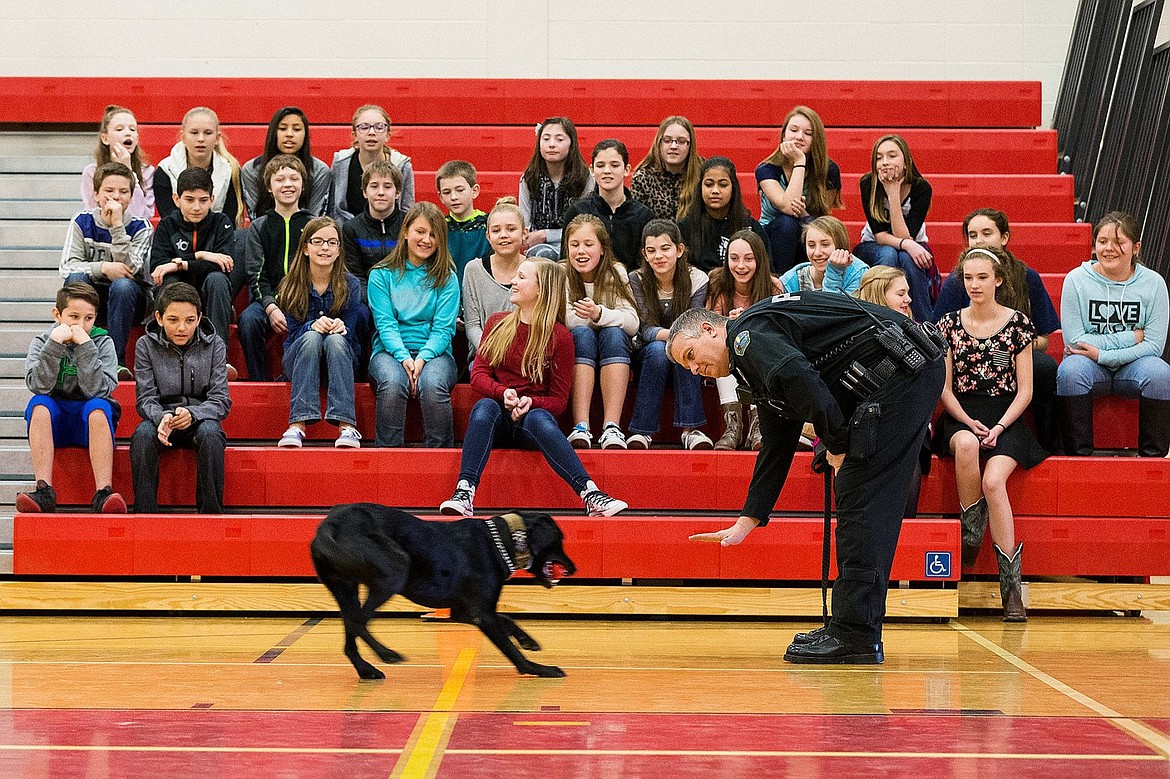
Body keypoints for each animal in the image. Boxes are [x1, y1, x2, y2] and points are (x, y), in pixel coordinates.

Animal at [311, 502, 575, 678]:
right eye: (560, 539)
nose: (574, 568)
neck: (503, 540)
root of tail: (329, 526)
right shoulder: (483, 615)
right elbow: (512, 650)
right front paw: (538, 668)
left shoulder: (464, 612)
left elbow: (507, 619)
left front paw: (526, 640)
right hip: (394, 570)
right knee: (358, 622)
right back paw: (386, 655)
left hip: (346, 588)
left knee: (350, 626)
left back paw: (366, 669)